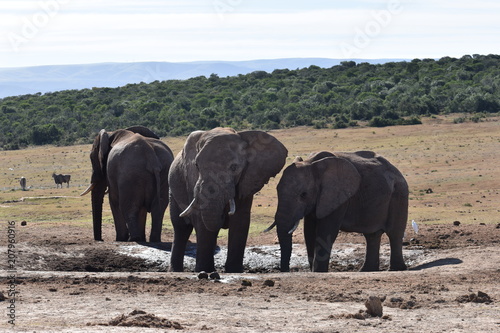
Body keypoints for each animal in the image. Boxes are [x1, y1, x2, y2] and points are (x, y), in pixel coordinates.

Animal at [169, 127, 288, 272]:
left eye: (234, 167)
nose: (223, 216)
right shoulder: (192, 182)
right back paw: (175, 270)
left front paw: (234, 270)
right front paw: (205, 270)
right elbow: (202, 223)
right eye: (197, 166)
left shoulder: (247, 178)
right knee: (181, 228)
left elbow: (240, 221)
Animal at [268, 150, 408, 272]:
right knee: (372, 235)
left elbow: (325, 231)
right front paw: (314, 271)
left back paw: (395, 269)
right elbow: (309, 232)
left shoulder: (338, 196)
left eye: (303, 195)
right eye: (277, 190)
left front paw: (319, 272)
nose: (286, 270)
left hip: (399, 194)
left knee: (394, 233)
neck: (312, 164)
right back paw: (366, 270)